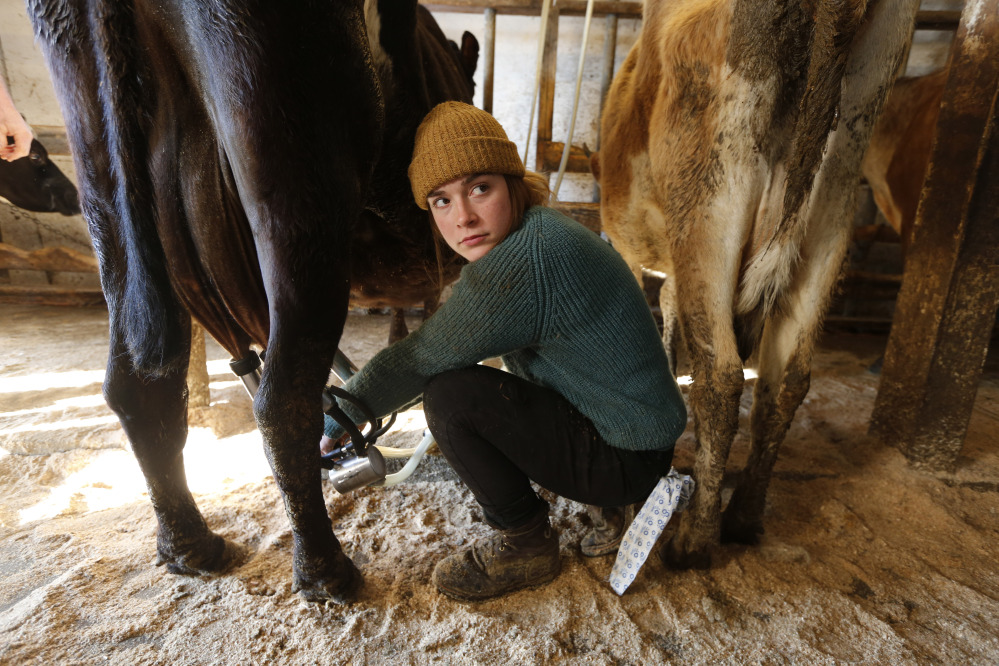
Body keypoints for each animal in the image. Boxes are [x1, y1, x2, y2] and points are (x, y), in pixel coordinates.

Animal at [27, 0, 476, 600]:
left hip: (104, 186)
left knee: (139, 385)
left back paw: (191, 546)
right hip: (296, 177)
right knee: (281, 399)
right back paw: (326, 572)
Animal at [592, 0, 920, 564]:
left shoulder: (629, 249)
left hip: (708, 198)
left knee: (722, 373)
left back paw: (695, 541)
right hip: (832, 204)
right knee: (785, 380)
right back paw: (743, 518)